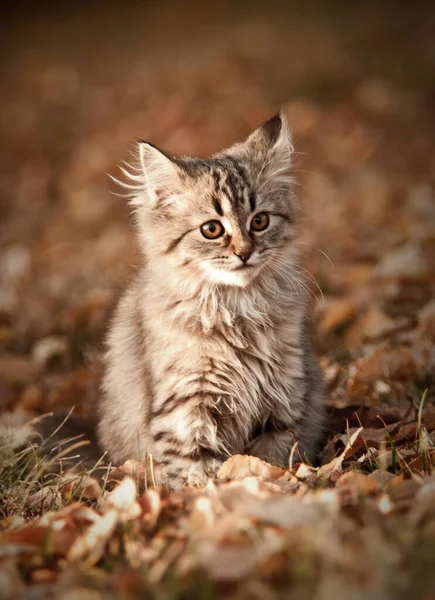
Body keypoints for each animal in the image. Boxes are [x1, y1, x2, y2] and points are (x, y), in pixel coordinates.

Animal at [97, 111, 326, 488]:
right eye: (212, 229)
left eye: (260, 221)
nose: (245, 253)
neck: (237, 309)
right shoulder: (186, 408)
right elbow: (199, 475)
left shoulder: (283, 401)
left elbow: (271, 461)